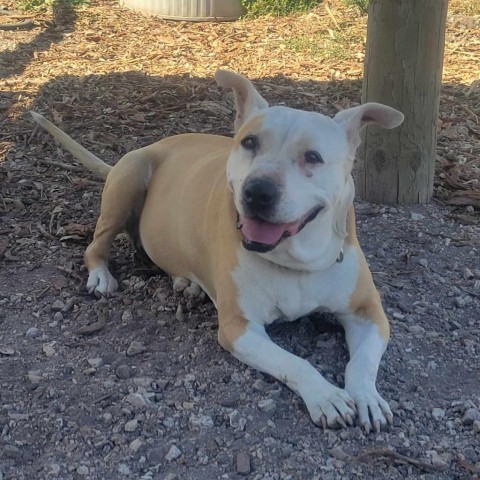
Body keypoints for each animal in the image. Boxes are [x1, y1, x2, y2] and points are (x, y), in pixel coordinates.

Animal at [31, 69, 404, 434]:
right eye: (250, 142)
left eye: (312, 157)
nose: (258, 191)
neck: (294, 261)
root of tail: (157, 143)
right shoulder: (239, 329)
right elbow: (295, 362)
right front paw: (326, 396)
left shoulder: (369, 313)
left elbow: (363, 362)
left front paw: (368, 398)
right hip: (130, 176)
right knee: (97, 244)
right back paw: (101, 275)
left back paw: (188, 284)